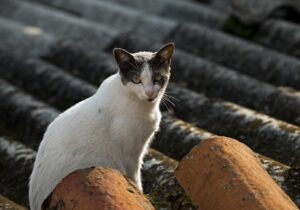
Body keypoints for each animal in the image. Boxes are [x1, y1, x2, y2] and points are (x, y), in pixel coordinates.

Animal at [28, 43, 173, 210]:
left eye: (157, 78)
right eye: (137, 80)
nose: (149, 92)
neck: (145, 107)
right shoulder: (131, 155)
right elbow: (135, 179)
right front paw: (141, 195)